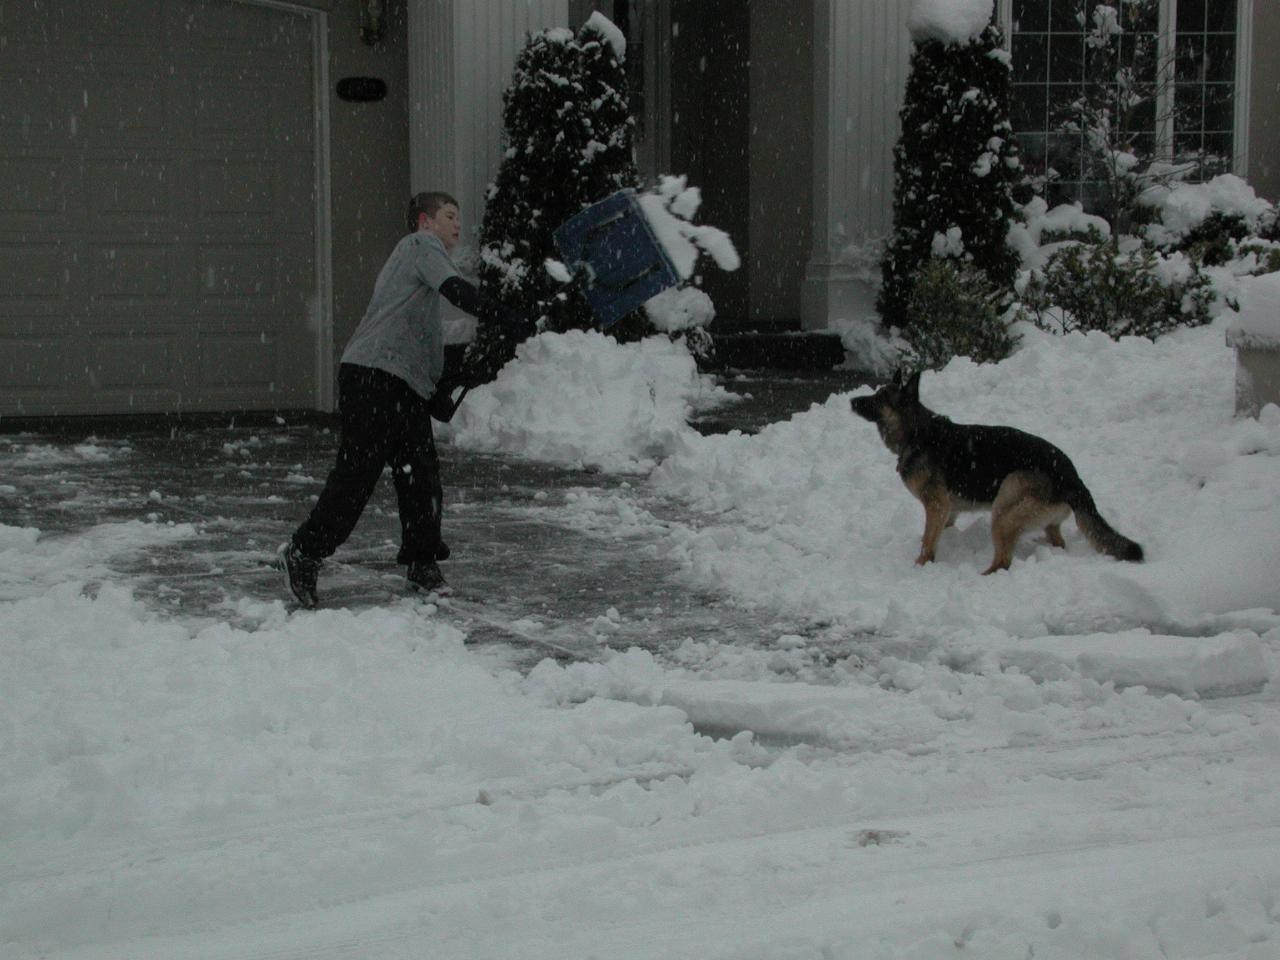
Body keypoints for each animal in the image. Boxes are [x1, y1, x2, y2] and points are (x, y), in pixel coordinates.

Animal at [855, 371, 1146, 576]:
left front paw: (920, 565)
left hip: (1005, 504)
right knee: (1056, 541)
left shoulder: (937, 505)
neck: (917, 432)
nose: (852, 400)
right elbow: (936, 532)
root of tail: (1074, 479)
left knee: (1003, 562)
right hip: (1038, 517)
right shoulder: (947, 510)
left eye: (879, 399)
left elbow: (928, 542)